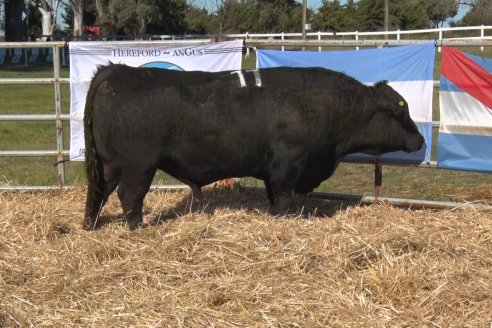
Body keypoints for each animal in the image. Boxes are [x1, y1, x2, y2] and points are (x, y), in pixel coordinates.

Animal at [82, 63, 424, 228]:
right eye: (401, 112)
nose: (420, 139)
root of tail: (116, 70)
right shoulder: (287, 166)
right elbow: (284, 200)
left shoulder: (275, 171)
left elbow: (274, 198)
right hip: (139, 166)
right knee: (130, 196)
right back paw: (138, 228)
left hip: (109, 165)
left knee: (98, 192)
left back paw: (90, 225)